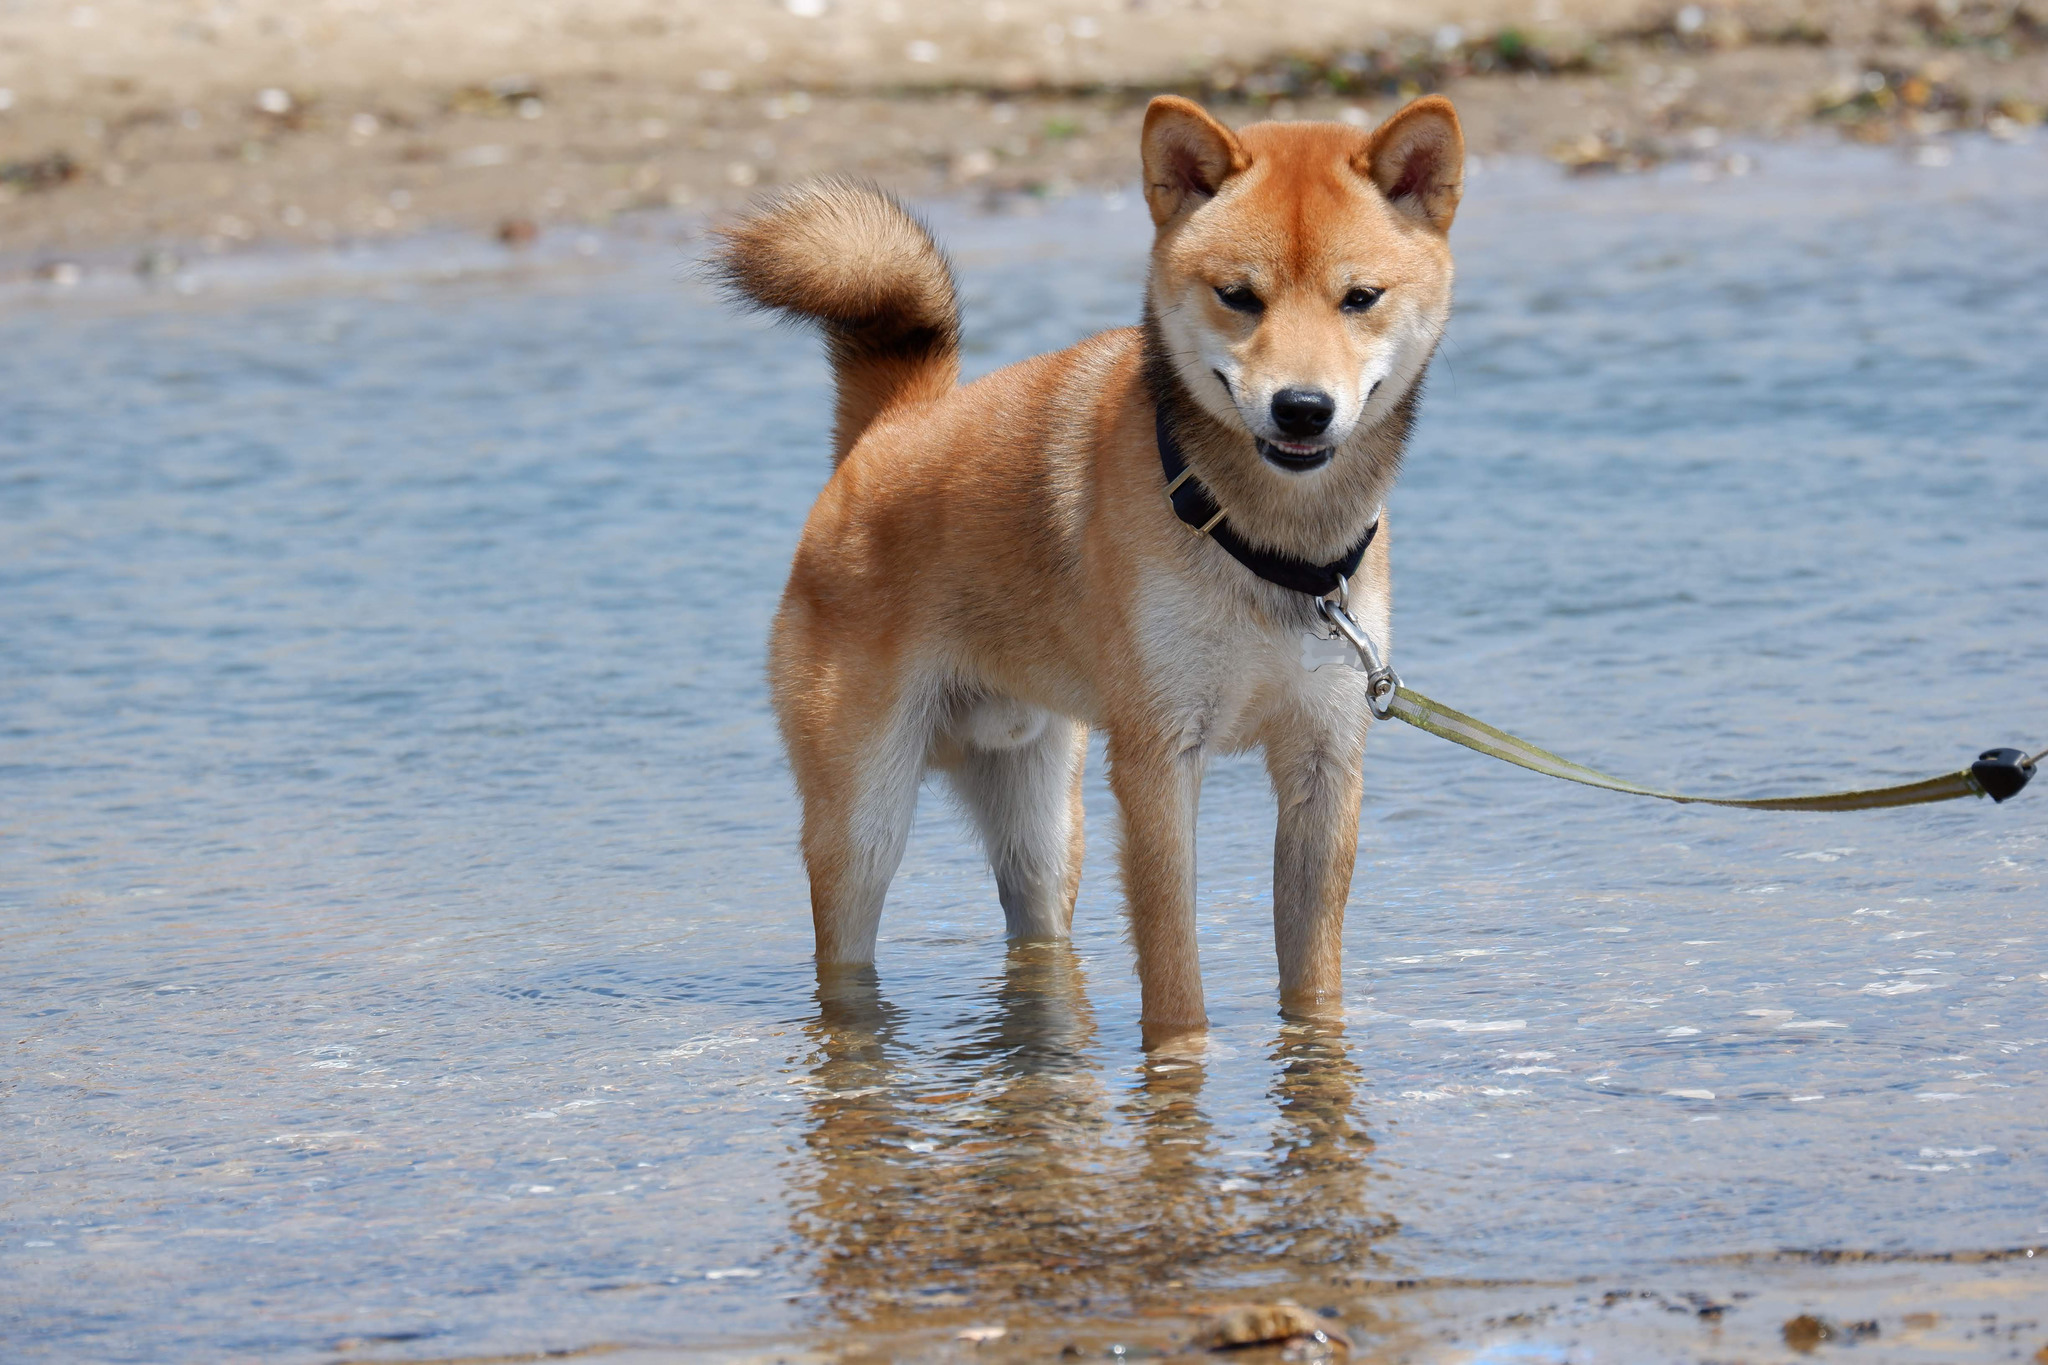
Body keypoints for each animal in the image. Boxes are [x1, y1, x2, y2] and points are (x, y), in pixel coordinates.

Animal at [712, 96, 1466, 1047]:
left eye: (1360, 297)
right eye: (1238, 296)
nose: (1302, 407)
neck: (1262, 545)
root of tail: (888, 430)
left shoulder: (1324, 759)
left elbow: (1313, 980)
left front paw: (1312, 1058)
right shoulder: (1157, 760)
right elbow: (1175, 978)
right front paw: (1180, 1065)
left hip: (1041, 832)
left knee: (1035, 936)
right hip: (864, 824)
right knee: (844, 952)